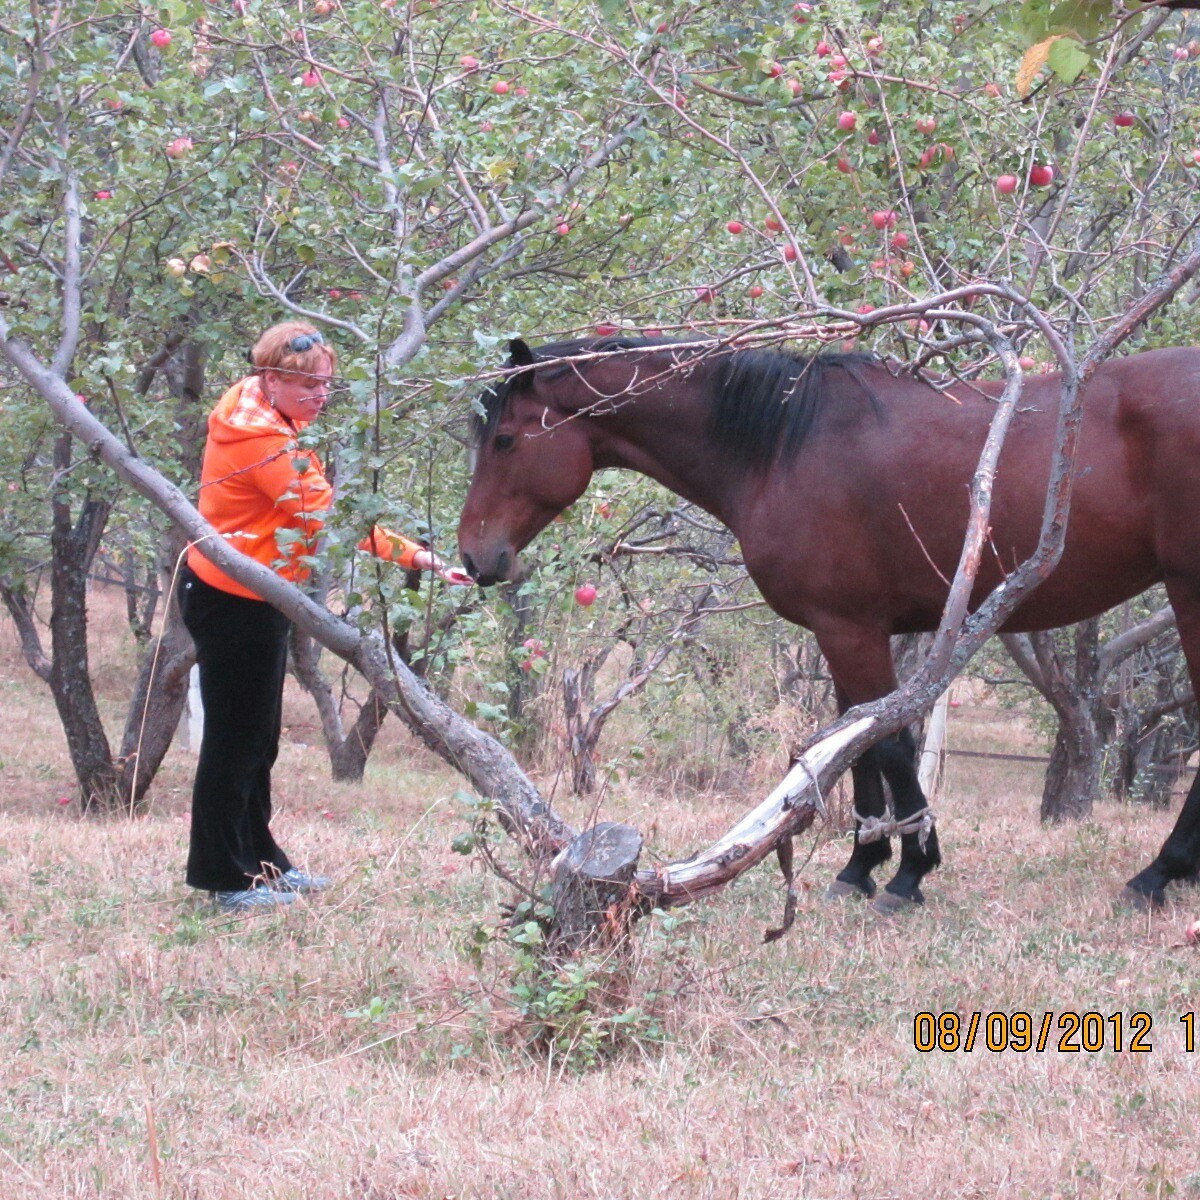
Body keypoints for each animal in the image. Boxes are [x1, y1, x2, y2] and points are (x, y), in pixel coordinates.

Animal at [456, 338, 1200, 907]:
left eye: (506, 439)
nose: (473, 556)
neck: (784, 447)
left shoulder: (850, 627)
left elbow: (887, 744)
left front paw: (909, 871)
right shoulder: (841, 630)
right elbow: (855, 743)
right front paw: (861, 867)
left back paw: (1157, 875)